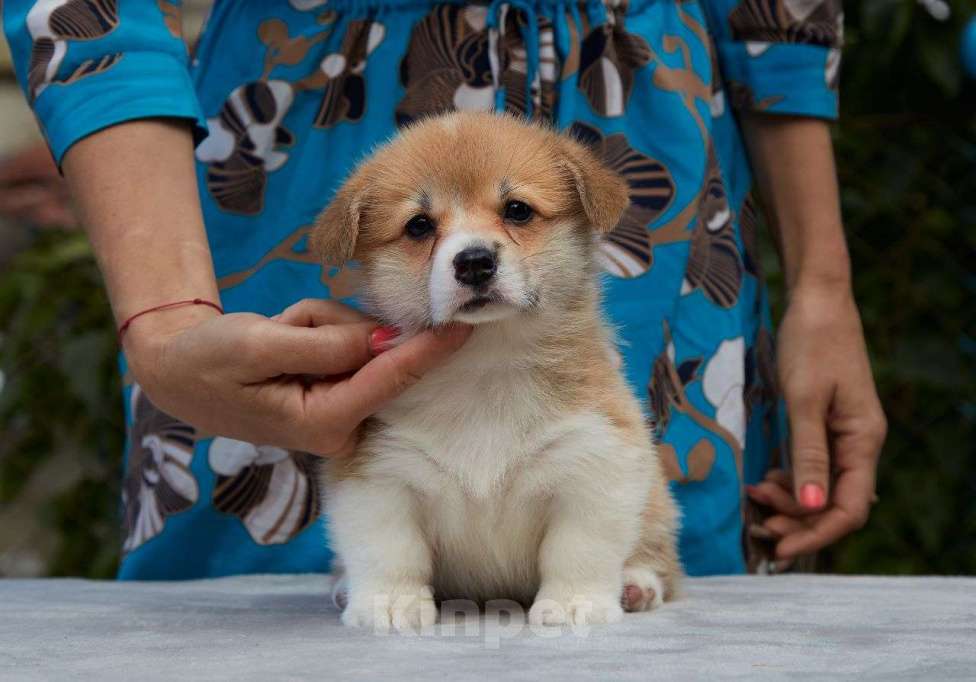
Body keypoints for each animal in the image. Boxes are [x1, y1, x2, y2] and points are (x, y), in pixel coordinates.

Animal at [312, 110, 680, 628]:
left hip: (657, 503)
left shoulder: (594, 461)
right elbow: (389, 551)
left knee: (657, 555)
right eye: (419, 225)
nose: (474, 261)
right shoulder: (377, 475)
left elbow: (578, 550)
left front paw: (573, 604)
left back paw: (636, 585)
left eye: (518, 210)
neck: (486, 362)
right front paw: (389, 604)